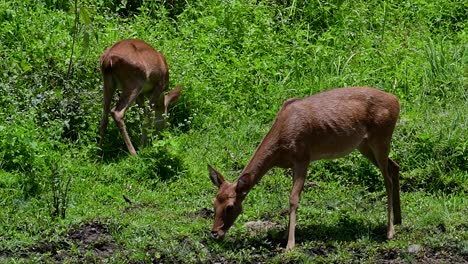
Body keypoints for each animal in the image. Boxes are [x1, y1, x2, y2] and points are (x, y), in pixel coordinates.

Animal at [208, 86, 402, 250]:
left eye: (231, 206)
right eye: (214, 202)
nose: (215, 233)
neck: (280, 148)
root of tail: (396, 100)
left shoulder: (303, 157)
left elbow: (293, 198)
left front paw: (290, 244)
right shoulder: (294, 163)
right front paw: (285, 235)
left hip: (381, 138)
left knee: (387, 179)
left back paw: (390, 231)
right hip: (364, 145)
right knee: (395, 166)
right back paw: (399, 220)